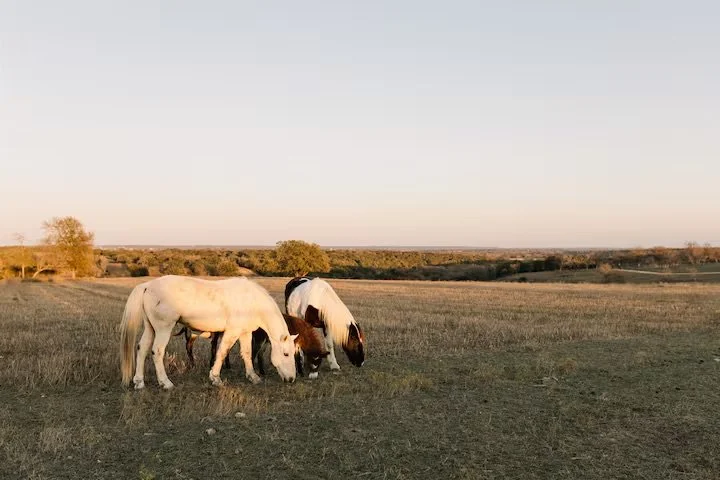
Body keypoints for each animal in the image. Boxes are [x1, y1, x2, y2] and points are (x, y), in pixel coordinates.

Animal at [119, 275, 297, 389]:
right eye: (286, 354)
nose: (291, 379)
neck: (252, 300)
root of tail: (147, 285)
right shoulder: (231, 332)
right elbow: (222, 352)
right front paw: (215, 378)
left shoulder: (244, 333)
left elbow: (246, 353)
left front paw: (253, 377)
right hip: (163, 328)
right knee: (157, 351)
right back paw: (166, 383)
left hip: (151, 328)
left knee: (142, 349)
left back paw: (139, 382)